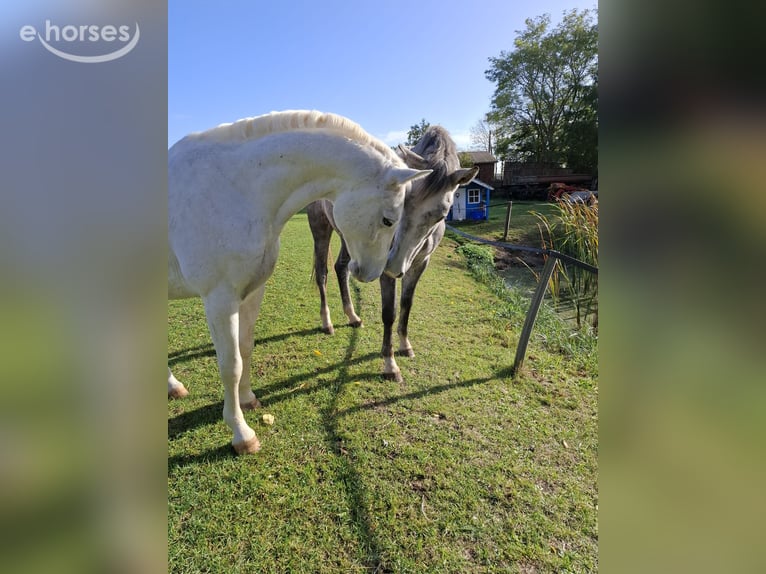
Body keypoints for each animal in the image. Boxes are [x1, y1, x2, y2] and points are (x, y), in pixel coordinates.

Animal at [167, 110, 431, 454]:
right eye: (388, 219)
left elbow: (246, 347)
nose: (375, 274)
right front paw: (242, 434)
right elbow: (230, 364)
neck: (234, 189)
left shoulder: (252, 292)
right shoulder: (220, 300)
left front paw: (248, 399)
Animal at [307, 126, 478, 382]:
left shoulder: (419, 264)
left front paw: (405, 346)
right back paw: (327, 323)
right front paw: (390, 364)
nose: (395, 264)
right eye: (404, 199)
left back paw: (353, 317)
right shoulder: (383, 270)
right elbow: (390, 312)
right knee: (322, 273)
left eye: (442, 213)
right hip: (320, 229)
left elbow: (407, 304)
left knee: (341, 268)